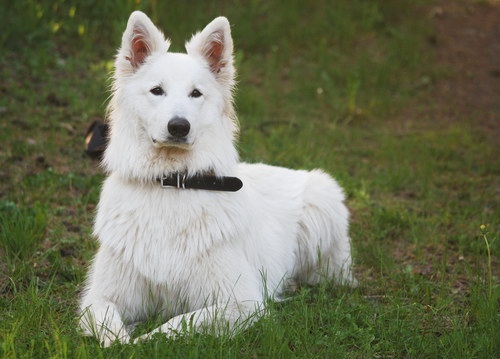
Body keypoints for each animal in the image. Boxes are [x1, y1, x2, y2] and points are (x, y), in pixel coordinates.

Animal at [80, 11, 356, 348]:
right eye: (157, 90)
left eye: (196, 93)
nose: (179, 126)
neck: (172, 183)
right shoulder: (99, 297)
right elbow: (108, 324)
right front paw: (122, 340)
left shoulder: (242, 303)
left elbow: (176, 324)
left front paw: (145, 340)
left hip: (322, 201)